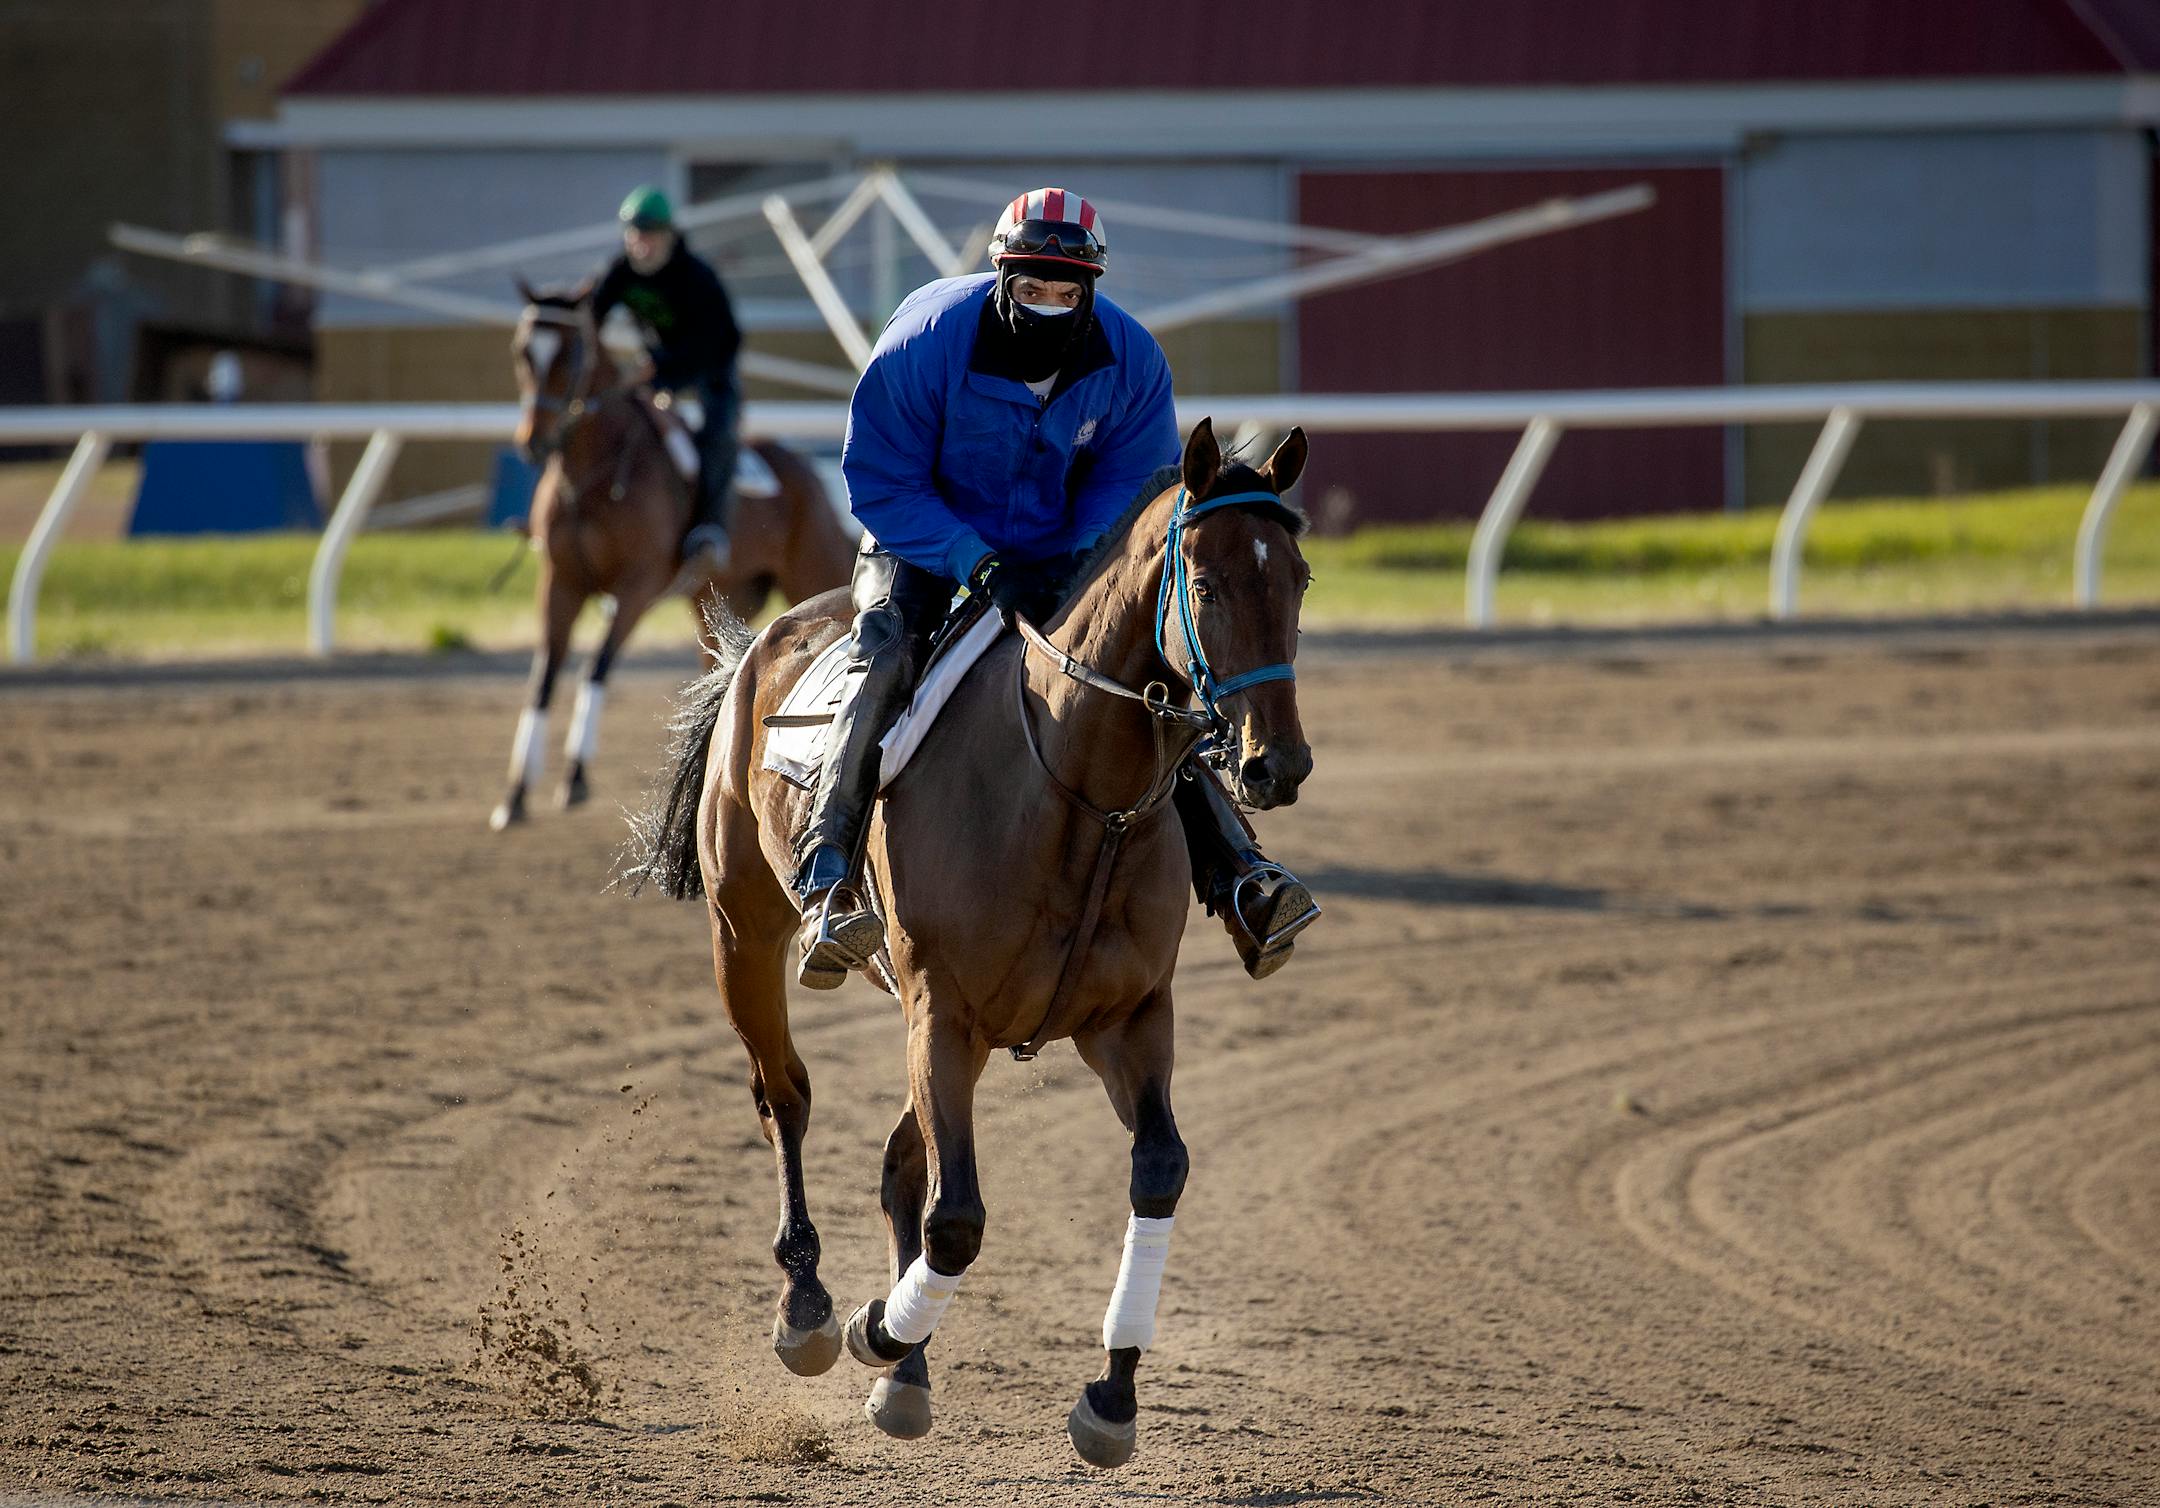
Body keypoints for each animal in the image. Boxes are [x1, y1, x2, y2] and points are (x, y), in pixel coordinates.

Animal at [490, 284, 855, 830]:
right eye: (520, 350)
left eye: (571, 352)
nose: (532, 440)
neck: (595, 474)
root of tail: (803, 466)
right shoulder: (560, 582)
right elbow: (544, 677)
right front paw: (514, 795)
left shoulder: (636, 586)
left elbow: (595, 664)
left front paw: (575, 777)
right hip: (713, 601)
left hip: (814, 567)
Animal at [626, 418, 1313, 1468]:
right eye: (1205, 582)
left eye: (1301, 580)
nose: (1276, 763)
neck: (1078, 795)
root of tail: (758, 647)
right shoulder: (941, 1011)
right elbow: (956, 1220)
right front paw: (877, 1330)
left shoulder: (1126, 1018)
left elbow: (1158, 1170)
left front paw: (1111, 1397)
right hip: (745, 934)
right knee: (786, 1095)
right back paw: (811, 1304)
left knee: (899, 1163)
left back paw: (905, 1369)